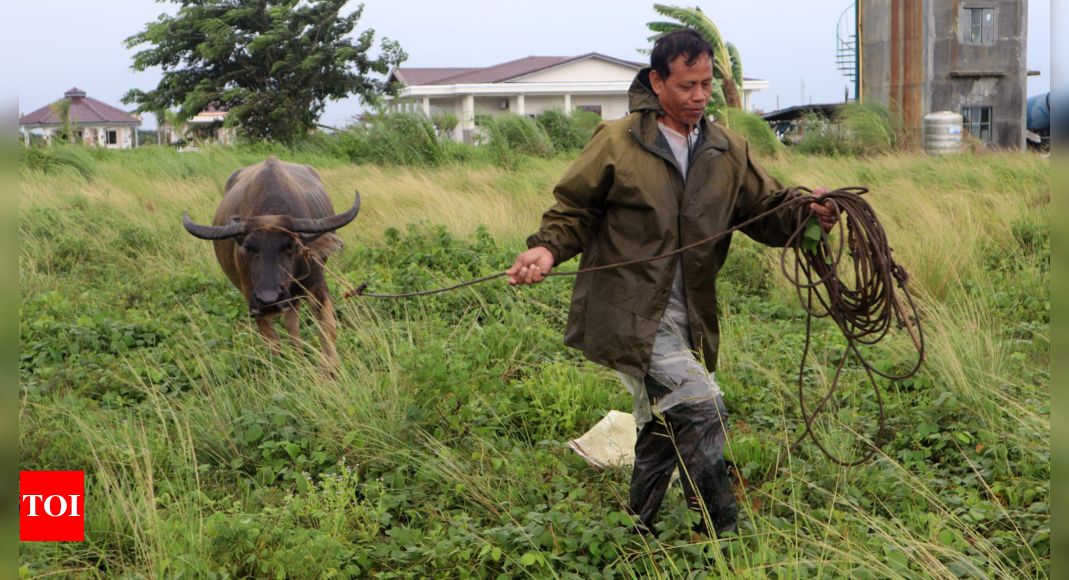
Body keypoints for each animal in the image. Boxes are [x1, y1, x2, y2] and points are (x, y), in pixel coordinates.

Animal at [178, 155, 354, 363]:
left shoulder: (316, 282)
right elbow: (272, 340)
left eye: (290, 246)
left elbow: (328, 327)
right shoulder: (252, 297)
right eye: (248, 247)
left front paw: (330, 367)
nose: (269, 300)